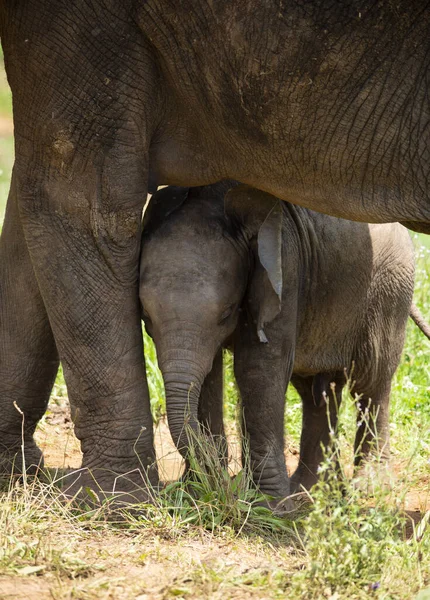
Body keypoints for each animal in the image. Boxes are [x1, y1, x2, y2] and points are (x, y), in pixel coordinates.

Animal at [141, 182, 416, 502]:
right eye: (145, 316)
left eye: (226, 313)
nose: (223, 478)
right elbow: (210, 374)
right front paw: (199, 489)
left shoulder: (286, 267)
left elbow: (259, 368)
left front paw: (266, 503)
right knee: (316, 391)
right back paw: (312, 491)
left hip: (389, 288)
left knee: (371, 382)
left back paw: (368, 488)